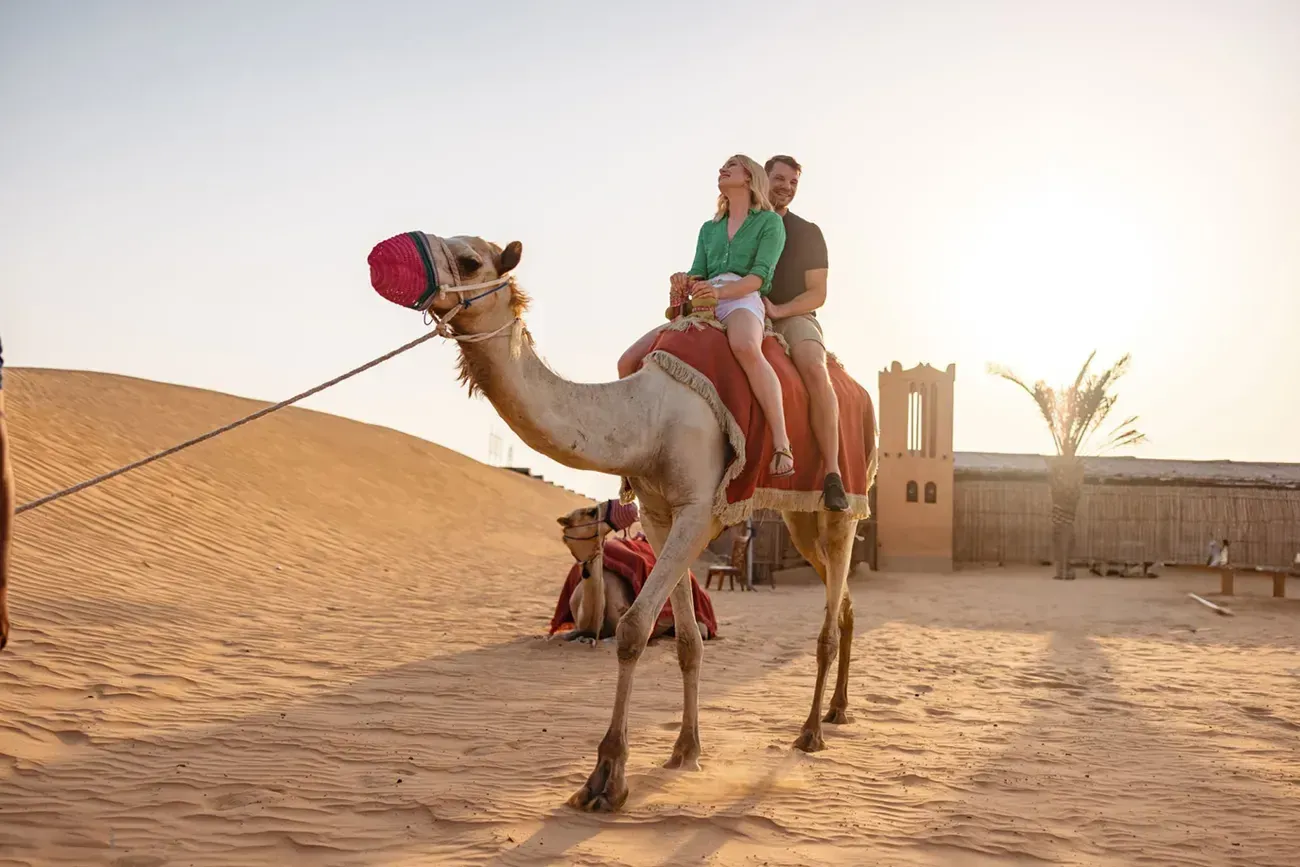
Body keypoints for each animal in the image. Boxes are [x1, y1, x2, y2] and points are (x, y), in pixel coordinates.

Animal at [368, 231, 867, 813]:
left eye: (470, 261)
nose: (386, 257)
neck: (647, 418)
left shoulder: (699, 508)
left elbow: (631, 629)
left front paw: (606, 777)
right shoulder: (658, 512)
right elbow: (687, 641)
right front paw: (685, 752)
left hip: (840, 505)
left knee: (830, 607)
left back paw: (811, 733)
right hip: (796, 517)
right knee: (844, 602)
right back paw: (837, 709)